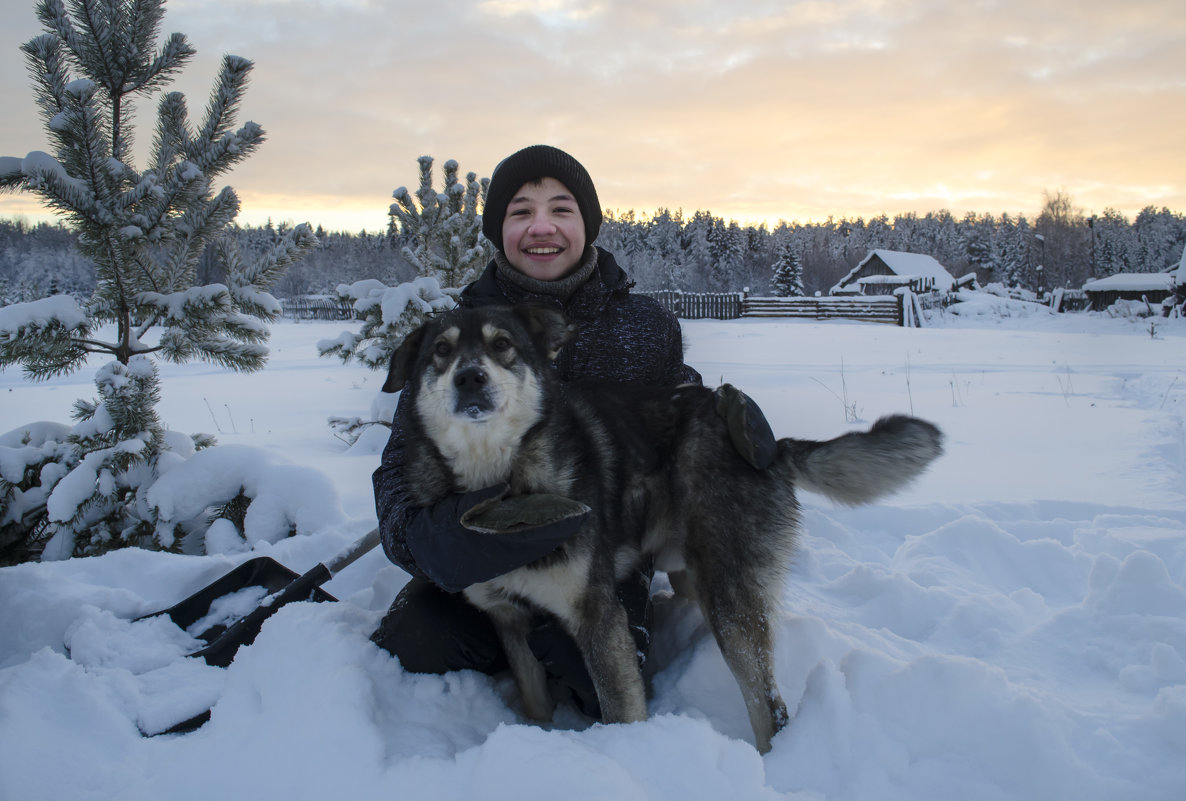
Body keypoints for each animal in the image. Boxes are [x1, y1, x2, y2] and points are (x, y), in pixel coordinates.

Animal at [384, 303, 939, 754]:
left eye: (502, 345)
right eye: (440, 351)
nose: (470, 378)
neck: (500, 484)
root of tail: (769, 445)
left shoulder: (598, 616)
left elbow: (621, 710)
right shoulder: (507, 618)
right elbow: (535, 699)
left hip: (730, 598)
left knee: (769, 706)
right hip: (693, 574)